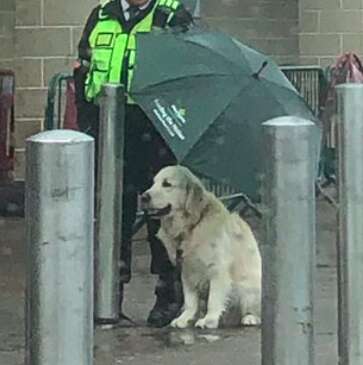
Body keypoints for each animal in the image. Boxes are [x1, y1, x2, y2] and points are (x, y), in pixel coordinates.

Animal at [140, 166, 262, 328]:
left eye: (167, 184)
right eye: (153, 183)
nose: (143, 197)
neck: (191, 226)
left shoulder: (217, 269)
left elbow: (213, 299)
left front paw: (209, 319)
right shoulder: (186, 269)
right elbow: (190, 300)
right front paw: (184, 318)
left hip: (247, 288)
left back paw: (250, 318)